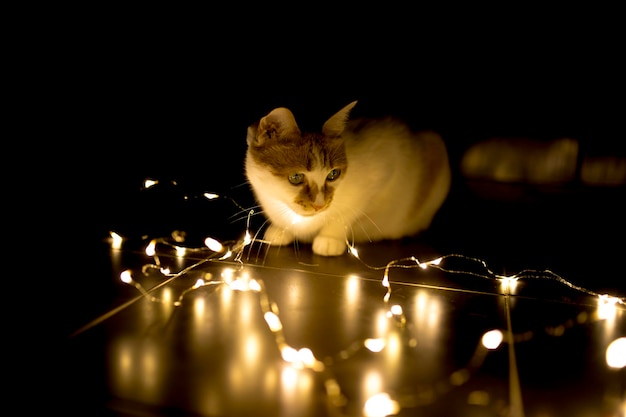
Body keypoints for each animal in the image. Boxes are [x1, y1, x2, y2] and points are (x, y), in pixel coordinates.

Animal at [243, 101, 448, 256]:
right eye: (295, 177)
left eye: (333, 174)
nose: (319, 205)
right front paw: (280, 229)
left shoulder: (385, 163)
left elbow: (348, 212)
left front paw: (330, 238)